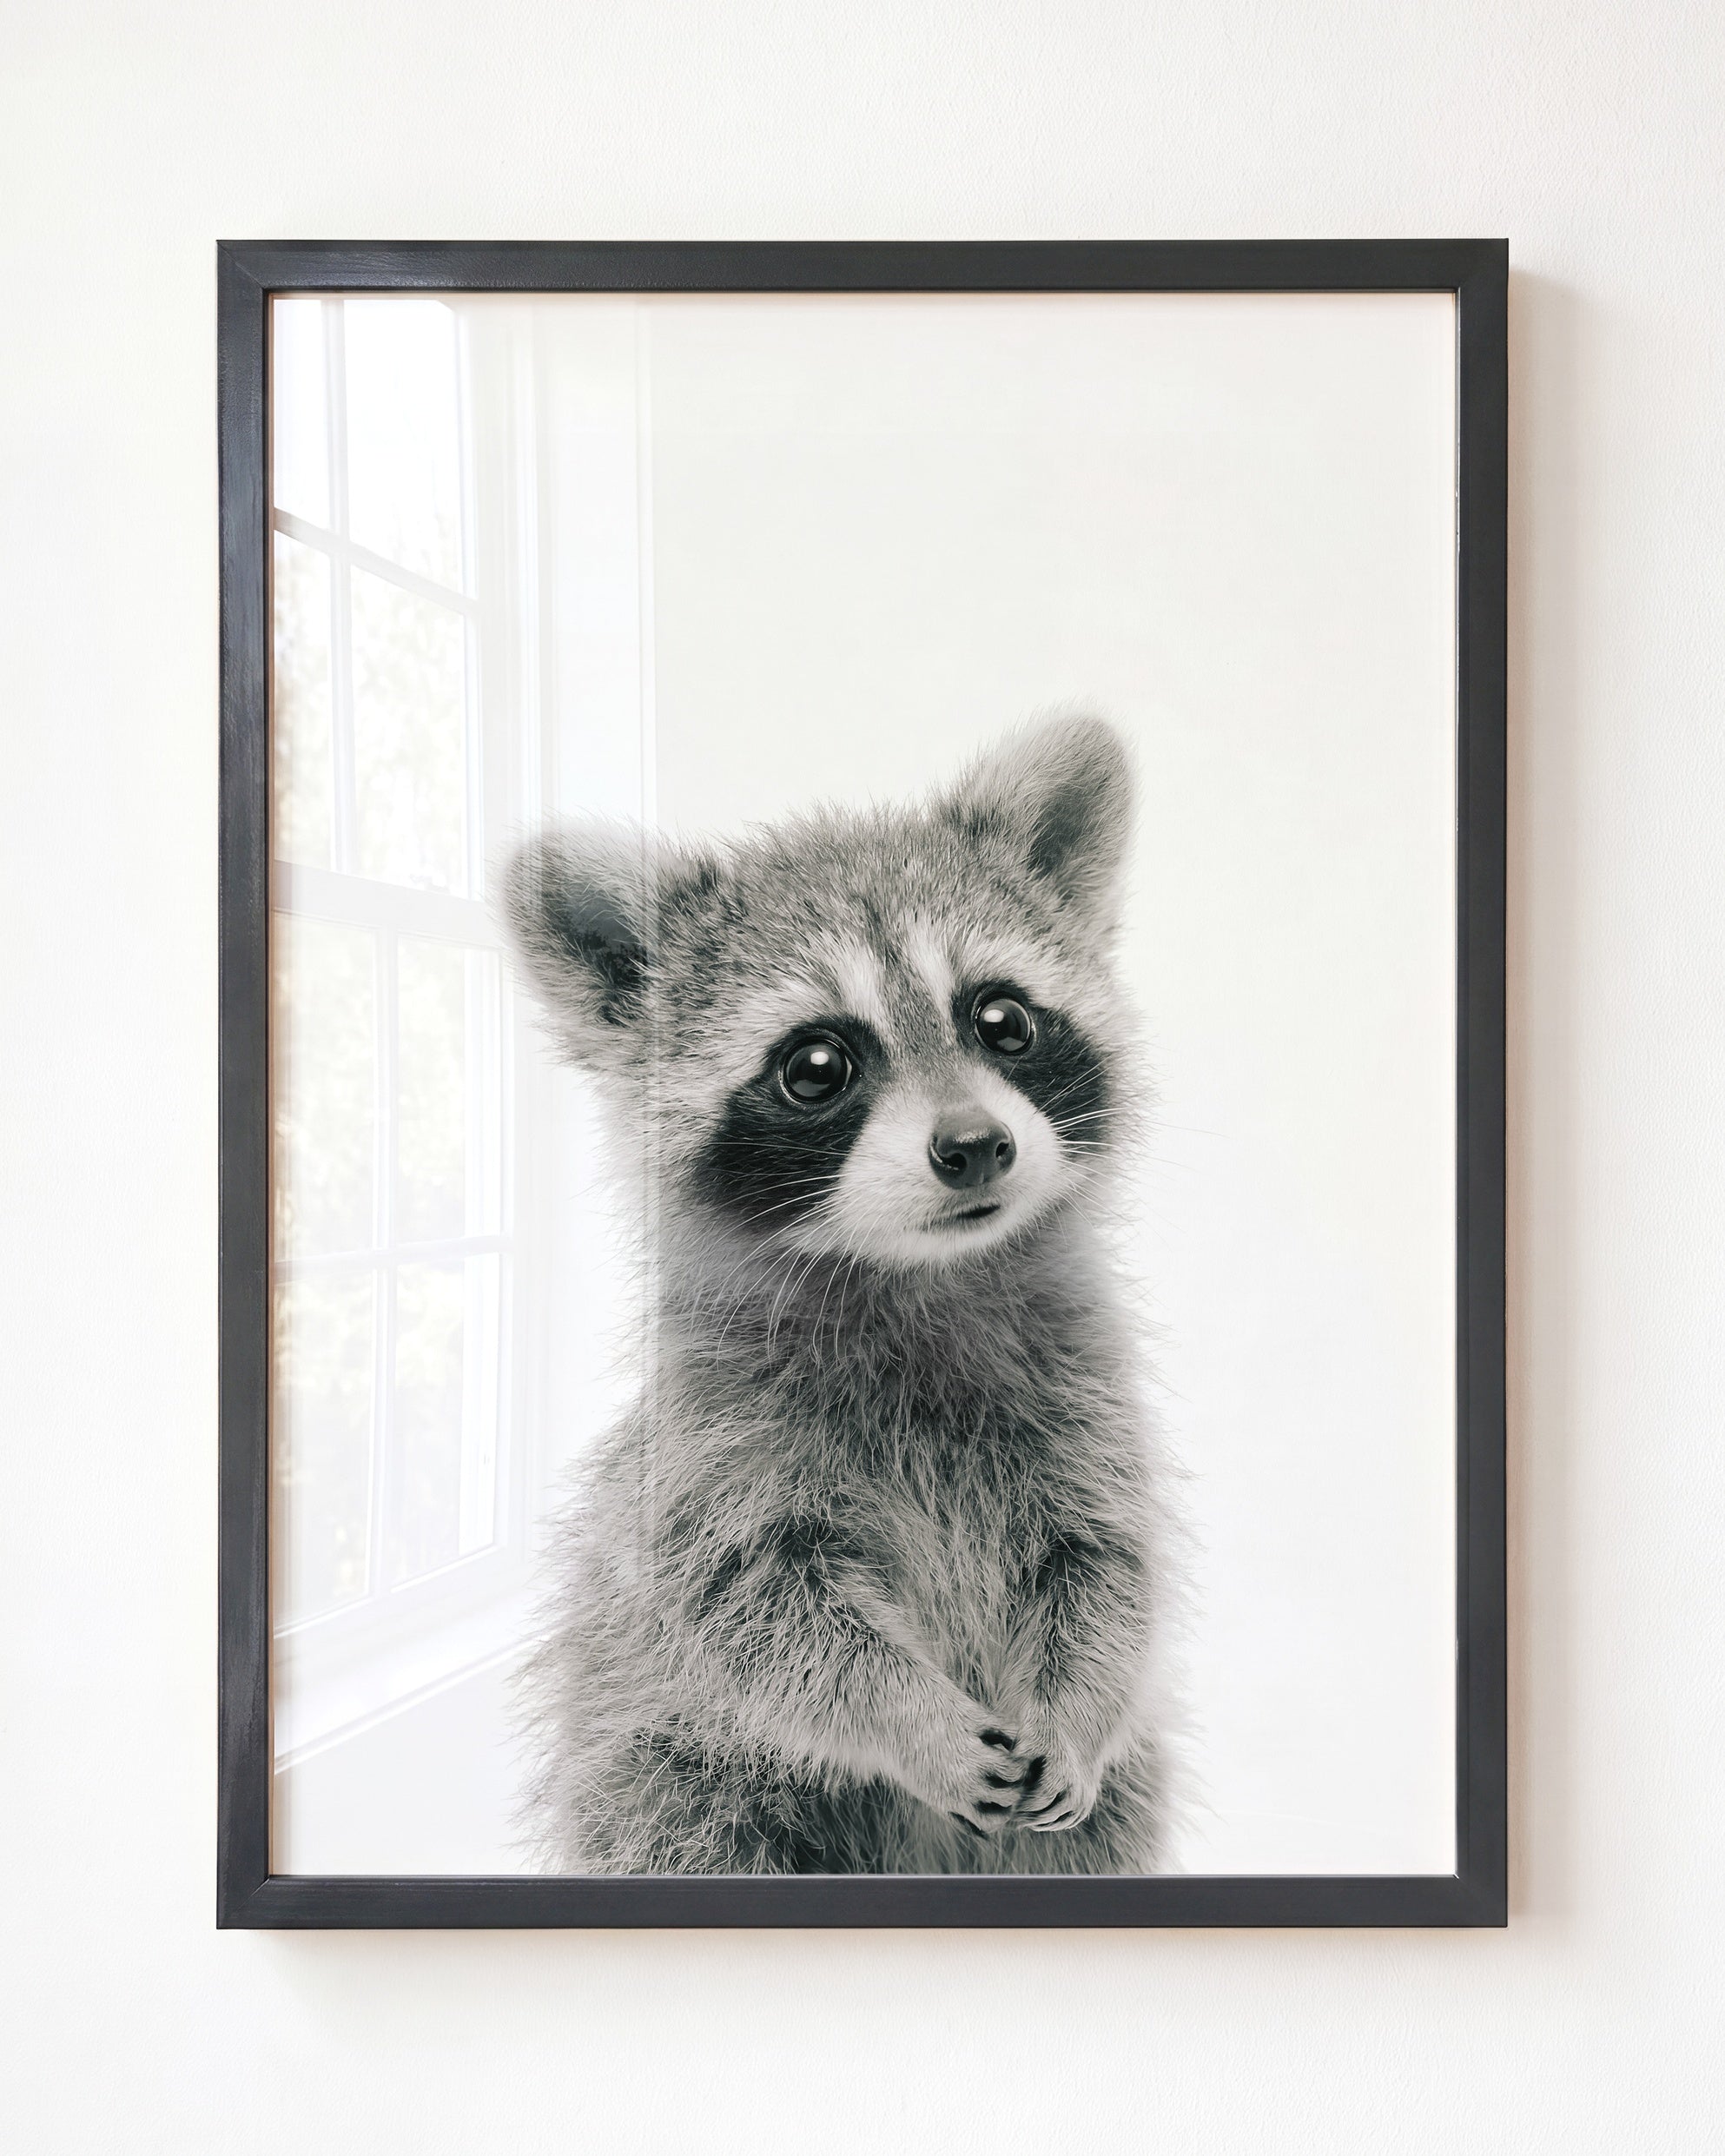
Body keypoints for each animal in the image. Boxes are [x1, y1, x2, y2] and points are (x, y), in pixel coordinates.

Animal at [505, 715, 1181, 1874]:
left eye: (1003, 1019)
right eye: (816, 1064)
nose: (975, 1145)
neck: (918, 1274)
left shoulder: (1088, 1405)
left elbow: (1106, 1565)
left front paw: (1080, 1705)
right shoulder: (708, 1456)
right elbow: (761, 1618)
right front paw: (912, 1721)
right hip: (668, 1778)